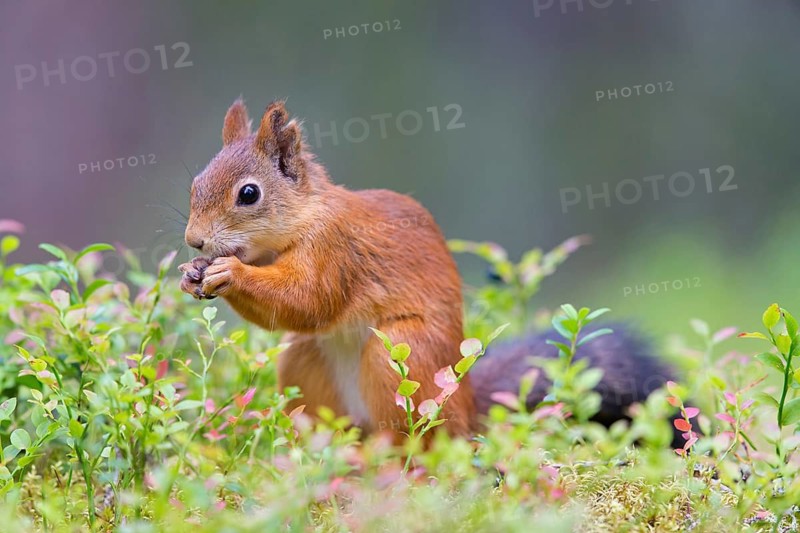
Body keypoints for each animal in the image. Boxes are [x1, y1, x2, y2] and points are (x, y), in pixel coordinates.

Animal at [178, 99, 677, 444]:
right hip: (306, 364)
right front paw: (192, 272)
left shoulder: (333, 250)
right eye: (195, 183)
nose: (194, 240)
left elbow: (307, 299)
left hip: (402, 358)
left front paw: (230, 273)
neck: (302, 218)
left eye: (248, 194)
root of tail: (467, 408)